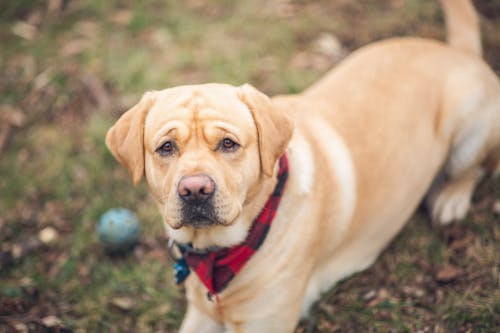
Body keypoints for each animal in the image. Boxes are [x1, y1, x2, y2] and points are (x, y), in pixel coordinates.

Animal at [104, 1, 496, 330]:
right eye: (166, 147)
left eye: (228, 144)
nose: (195, 189)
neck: (220, 255)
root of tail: (454, 51)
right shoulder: (200, 316)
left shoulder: (265, 323)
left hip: (469, 130)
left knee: (475, 170)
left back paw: (450, 199)